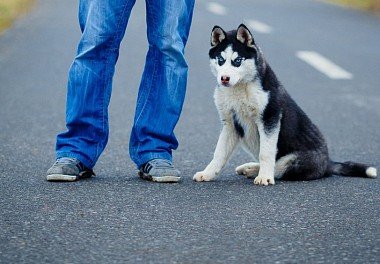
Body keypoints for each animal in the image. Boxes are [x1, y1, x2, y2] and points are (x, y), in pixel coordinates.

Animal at [193, 24, 378, 186]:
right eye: (220, 60)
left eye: (237, 60)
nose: (224, 79)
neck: (240, 88)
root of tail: (328, 162)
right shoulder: (230, 123)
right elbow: (219, 153)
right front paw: (207, 173)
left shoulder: (270, 118)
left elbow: (266, 153)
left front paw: (265, 178)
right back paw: (250, 168)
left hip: (295, 161)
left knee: (280, 167)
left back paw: (256, 171)